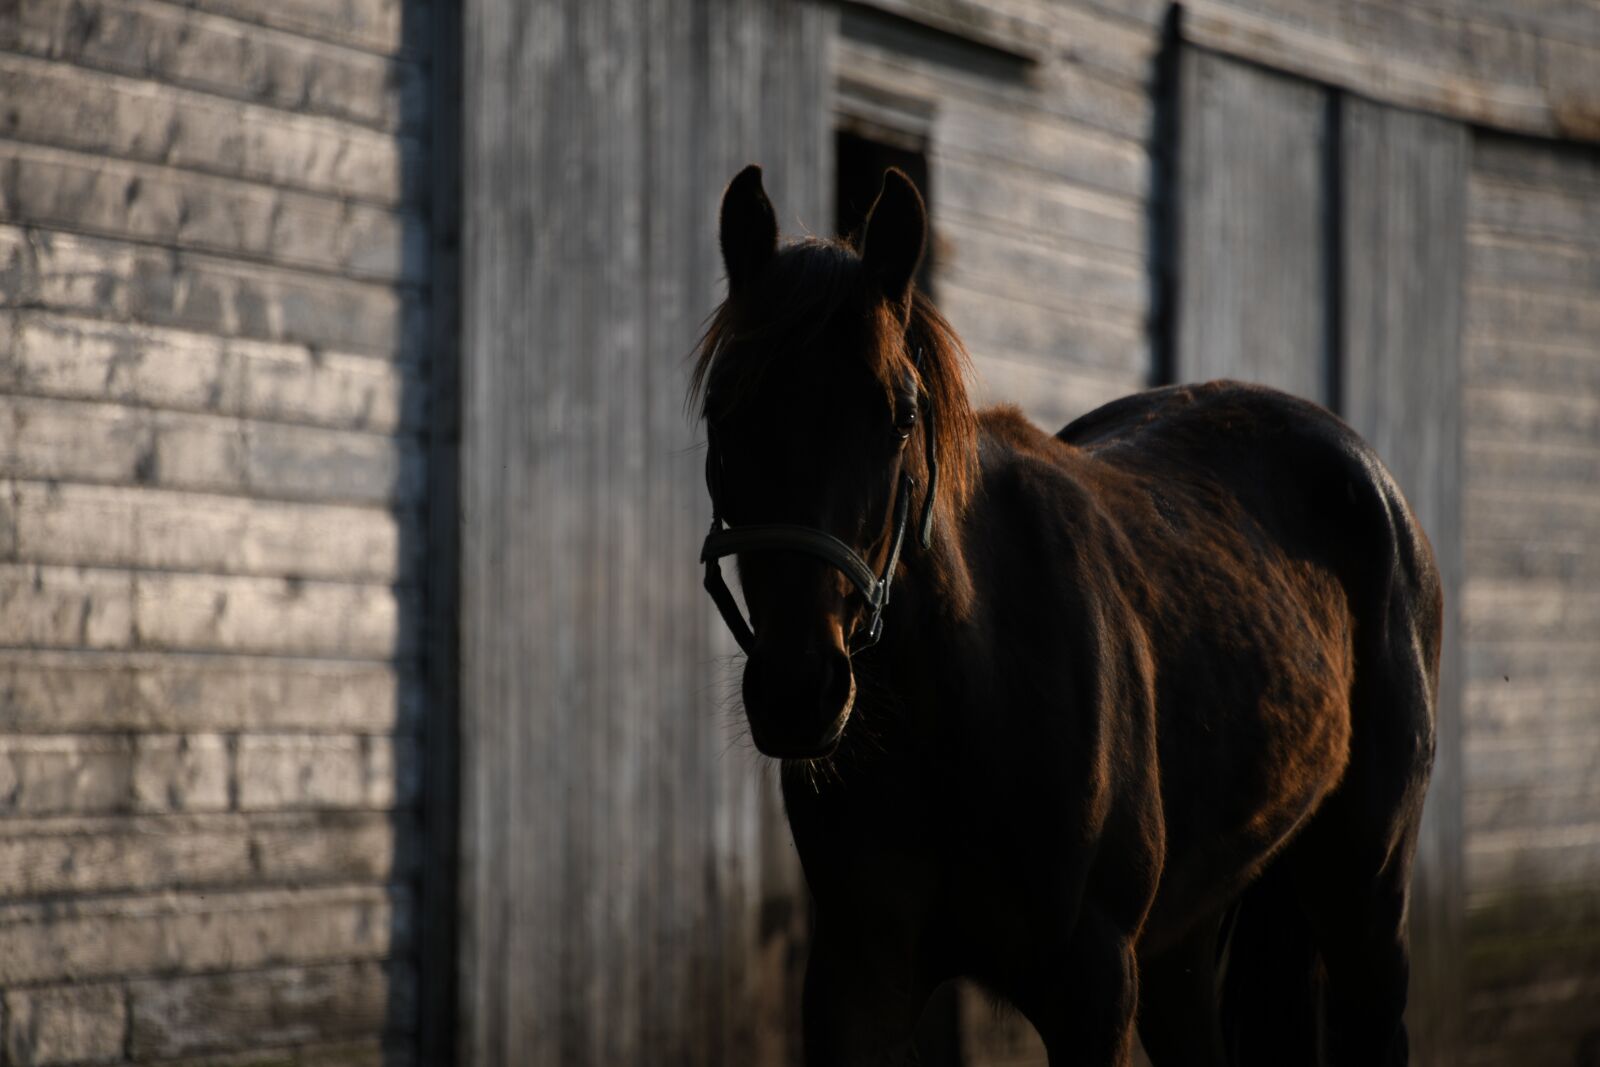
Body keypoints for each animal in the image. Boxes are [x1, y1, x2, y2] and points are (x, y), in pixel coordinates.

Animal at [693, 164, 1438, 1067]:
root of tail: (1371, 480)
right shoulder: (858, 974)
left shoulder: (1092, 981)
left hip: (1365, 899)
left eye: (899, 416)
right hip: (1188, 943)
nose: (799, 689)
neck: (965, 701)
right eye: (724, 412)